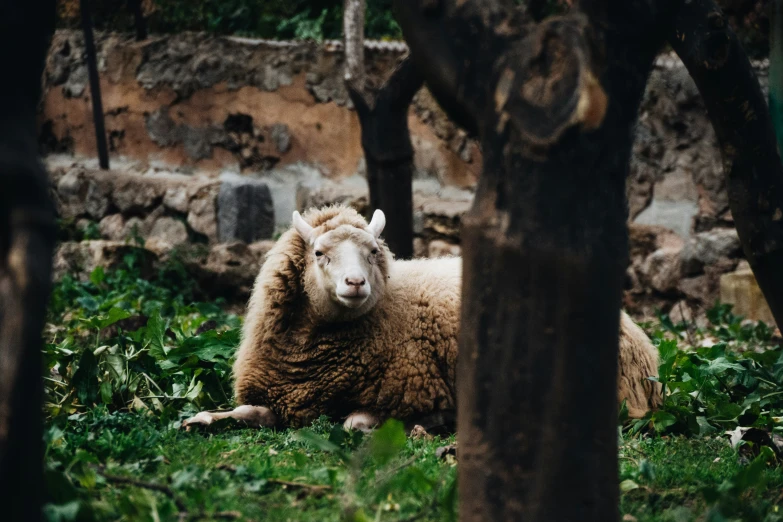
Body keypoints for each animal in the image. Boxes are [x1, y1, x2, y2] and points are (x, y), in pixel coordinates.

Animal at [184, 204, 660, 430]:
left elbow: (357, 422)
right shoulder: (283, 399)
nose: (356, 283)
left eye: (373, 251)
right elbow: (247, 413)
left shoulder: (409, 391)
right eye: (319, 253)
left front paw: (423, 423)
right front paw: (202, 420)